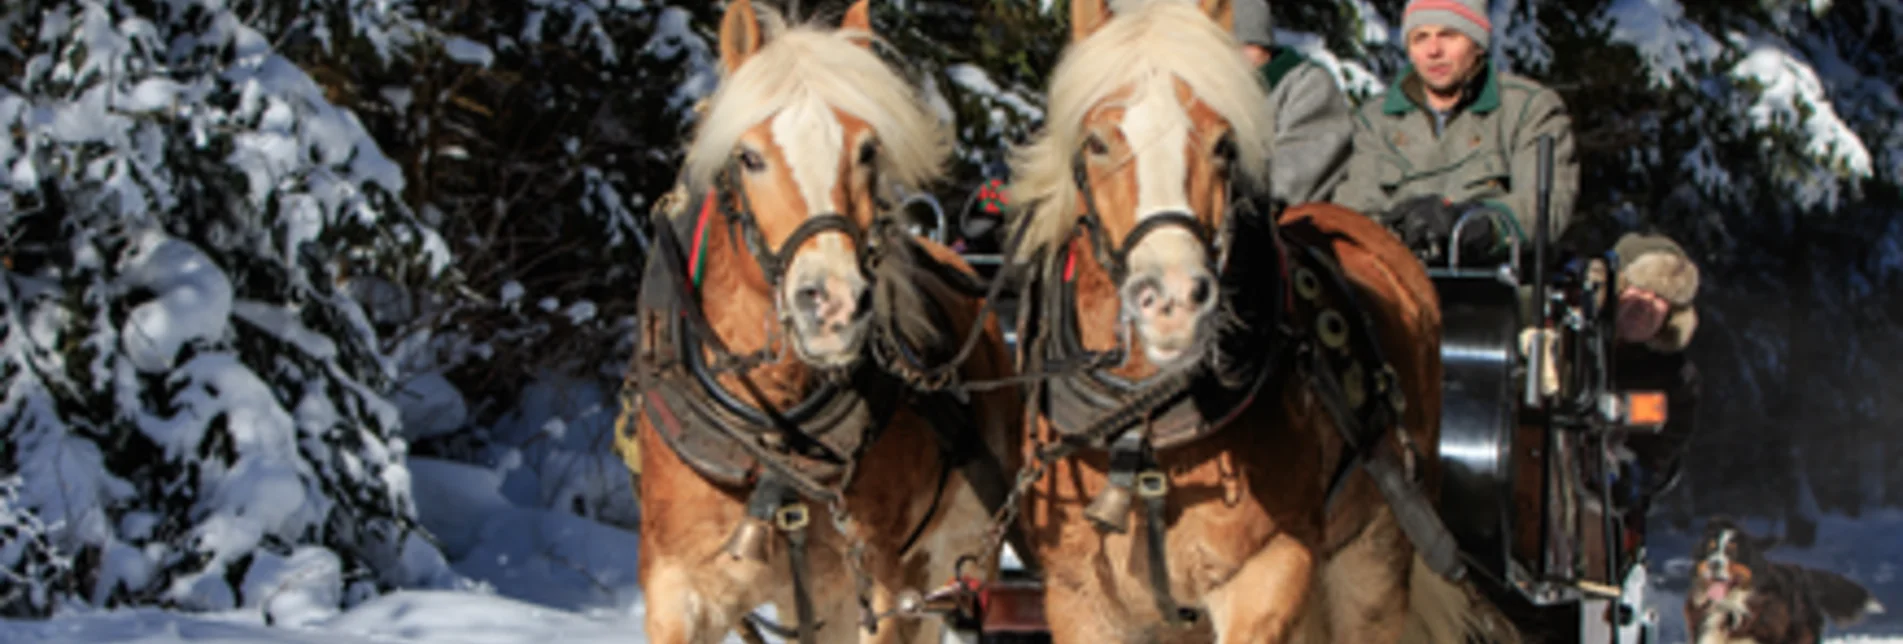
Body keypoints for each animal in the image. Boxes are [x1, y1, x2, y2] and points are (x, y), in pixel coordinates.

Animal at [620, 2, 1027, 640]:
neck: (778, 427)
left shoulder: (878, 588)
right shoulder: (676, 589)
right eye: (749, 157)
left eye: (867, 150)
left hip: (959, 562)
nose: (833, 303)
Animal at [1004, 2, 1522, 640]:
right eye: (1098, 141)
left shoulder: (1270, 568)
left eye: (1225, 144)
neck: (1143, 418)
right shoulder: (1081, 599)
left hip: (1373, 557)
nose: (1174, 299)